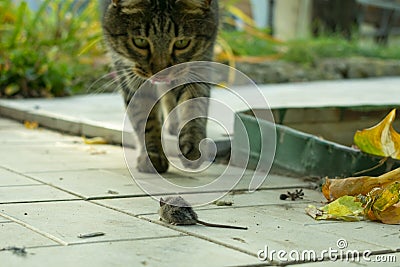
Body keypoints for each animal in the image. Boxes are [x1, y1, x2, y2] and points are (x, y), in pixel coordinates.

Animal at [101, 0, 217, 174]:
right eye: (140, 42)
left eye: (182, 43)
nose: (161, 72)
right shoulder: (128, 72)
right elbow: (145, 118)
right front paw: (152, 154)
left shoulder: (199, 63)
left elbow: (195, 106)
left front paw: (193, 143)